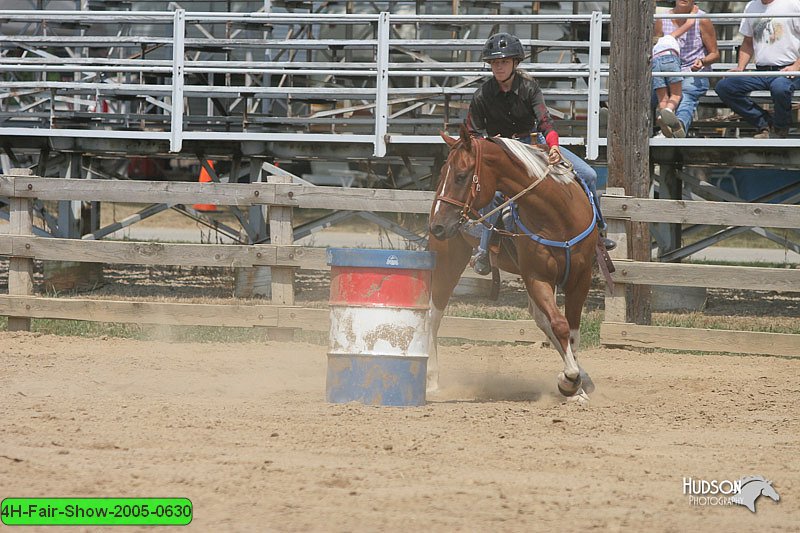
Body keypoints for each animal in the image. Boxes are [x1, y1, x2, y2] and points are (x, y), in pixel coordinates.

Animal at [428, 123, 596, 400]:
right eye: (442, 174)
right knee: (434, 313)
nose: (438, 226)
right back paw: (432, 378)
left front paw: (578, 384)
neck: (557, 215)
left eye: (461, 176)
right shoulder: (537, 277)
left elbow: (571, 331)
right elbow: (560, 325)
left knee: (541, 319)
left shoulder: (580, 278)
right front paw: (569, 380)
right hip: (447, 259)